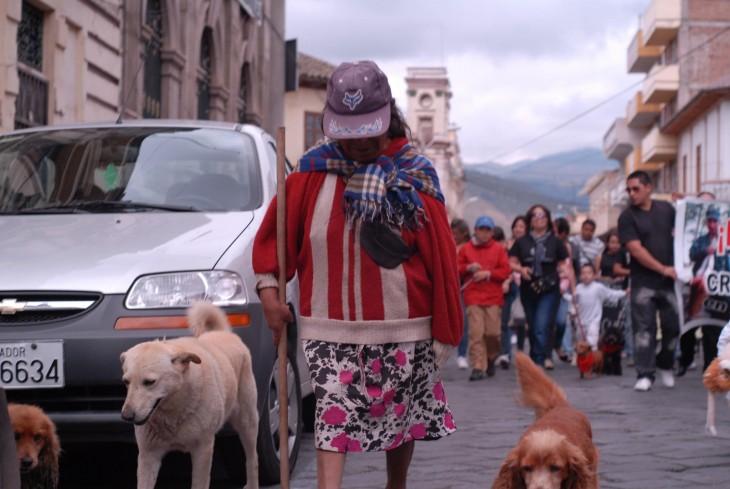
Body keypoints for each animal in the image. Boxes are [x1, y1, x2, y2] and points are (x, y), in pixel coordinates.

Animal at [118, 302, 258, 488]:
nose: (126, 416)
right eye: (126, 381)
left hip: (247, 422)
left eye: (149, 382)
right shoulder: (148, 455)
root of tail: (224, 333)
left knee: (253, 460)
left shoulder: (203, 450)